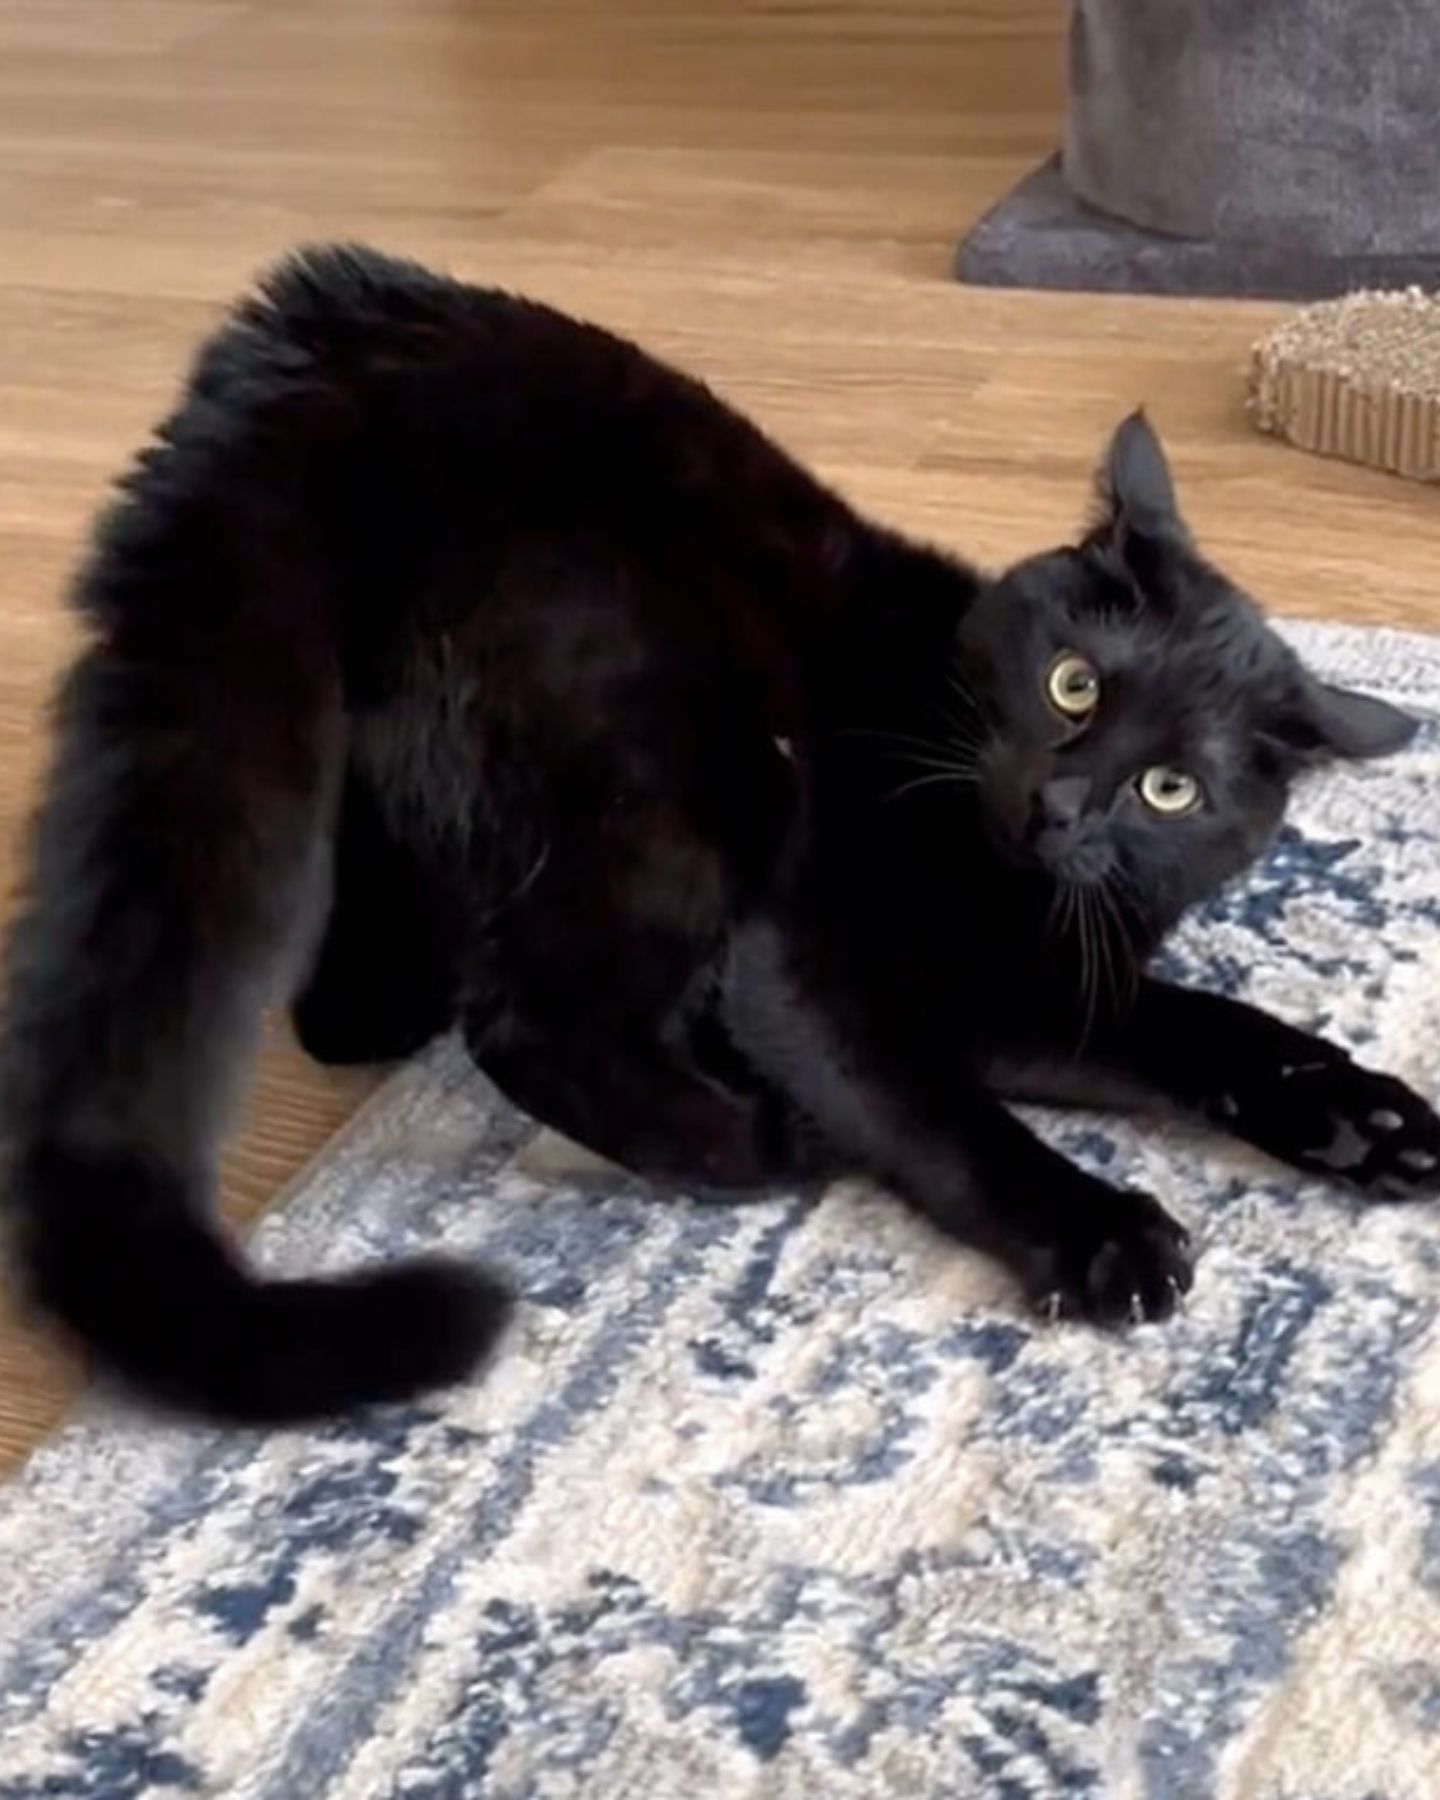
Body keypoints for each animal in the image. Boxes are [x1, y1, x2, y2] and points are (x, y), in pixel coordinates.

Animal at [2, 246, 1440, 1418]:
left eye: (1171, 791)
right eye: (1075, 684)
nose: (1065, 802)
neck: (1007, 873)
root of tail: (316, 347)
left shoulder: (1017, 984)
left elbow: (1194, 1026)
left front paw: (1360, 1116)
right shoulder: (810, 958)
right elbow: (943, 1114)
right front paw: (1101, 1233)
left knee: (390, 988)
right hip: (684, 759)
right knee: (529, 1018)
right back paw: (761, 1136)